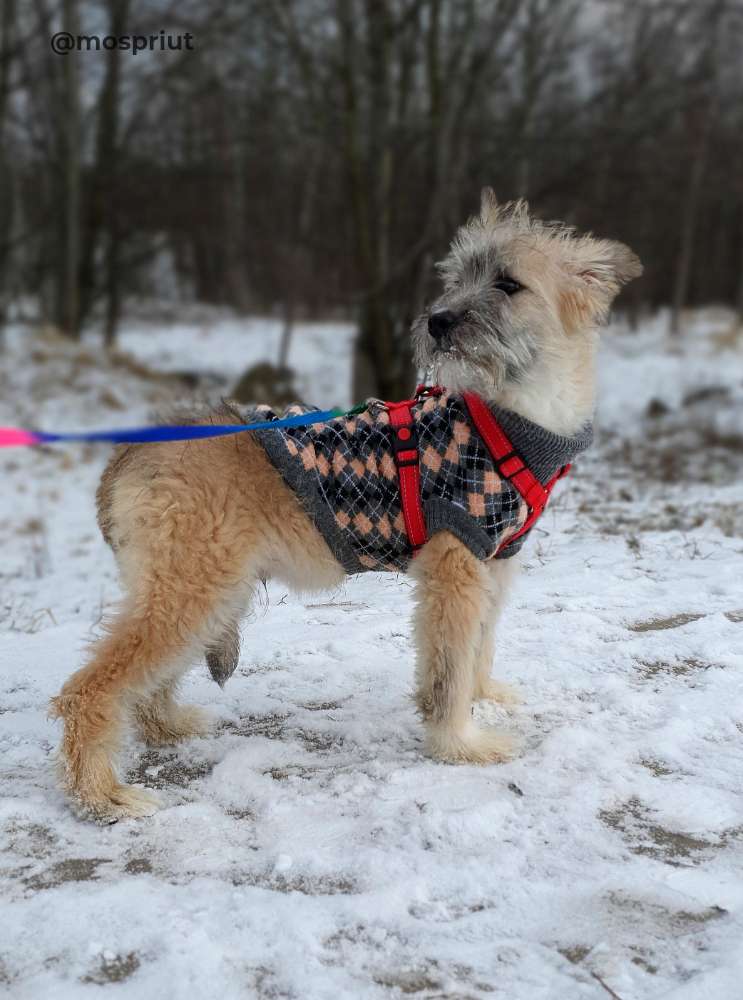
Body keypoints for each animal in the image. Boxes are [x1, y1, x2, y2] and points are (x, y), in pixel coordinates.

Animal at [52, 191, 644, 824]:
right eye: (458, 280)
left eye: (508, 284)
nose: (437, 320)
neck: (509, 415)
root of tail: (131, 449)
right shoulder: (454, 571)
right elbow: (449, 670)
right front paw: (460, 743)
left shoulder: (495, 563)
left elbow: (479, 652)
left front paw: (485, 697)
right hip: (189, 587)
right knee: (88, 689)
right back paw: (101, 794)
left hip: (202, 589)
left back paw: (167, 726)